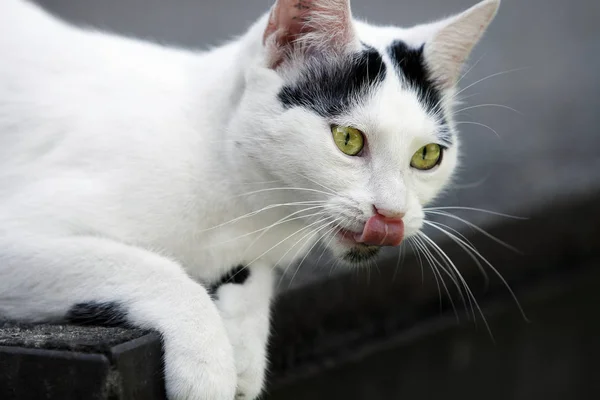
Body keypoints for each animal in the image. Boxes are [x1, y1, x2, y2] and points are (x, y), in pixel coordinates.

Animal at [0, 0, 502, 398]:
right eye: (348, 139)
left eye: (428, 156)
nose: (392, 214)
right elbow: (155, 269)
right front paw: (209, 367)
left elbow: (252, 275)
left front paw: (242, 347)